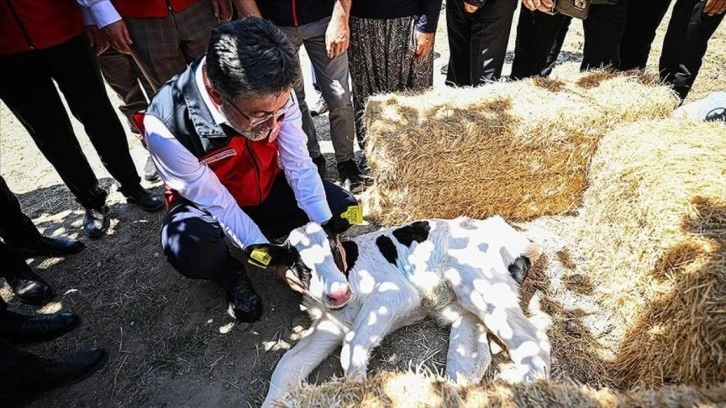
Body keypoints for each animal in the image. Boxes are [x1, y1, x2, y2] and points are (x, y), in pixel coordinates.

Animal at [264, 215, 552, 406]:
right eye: (300, 265)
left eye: (335, 250)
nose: (339, 293)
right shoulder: (330, 323)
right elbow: (288, 362)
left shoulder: (397, 293)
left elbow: (352, 344)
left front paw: (357, 391)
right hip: (463, 304)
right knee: (472, 359)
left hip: (481, 285)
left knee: (533, 339)